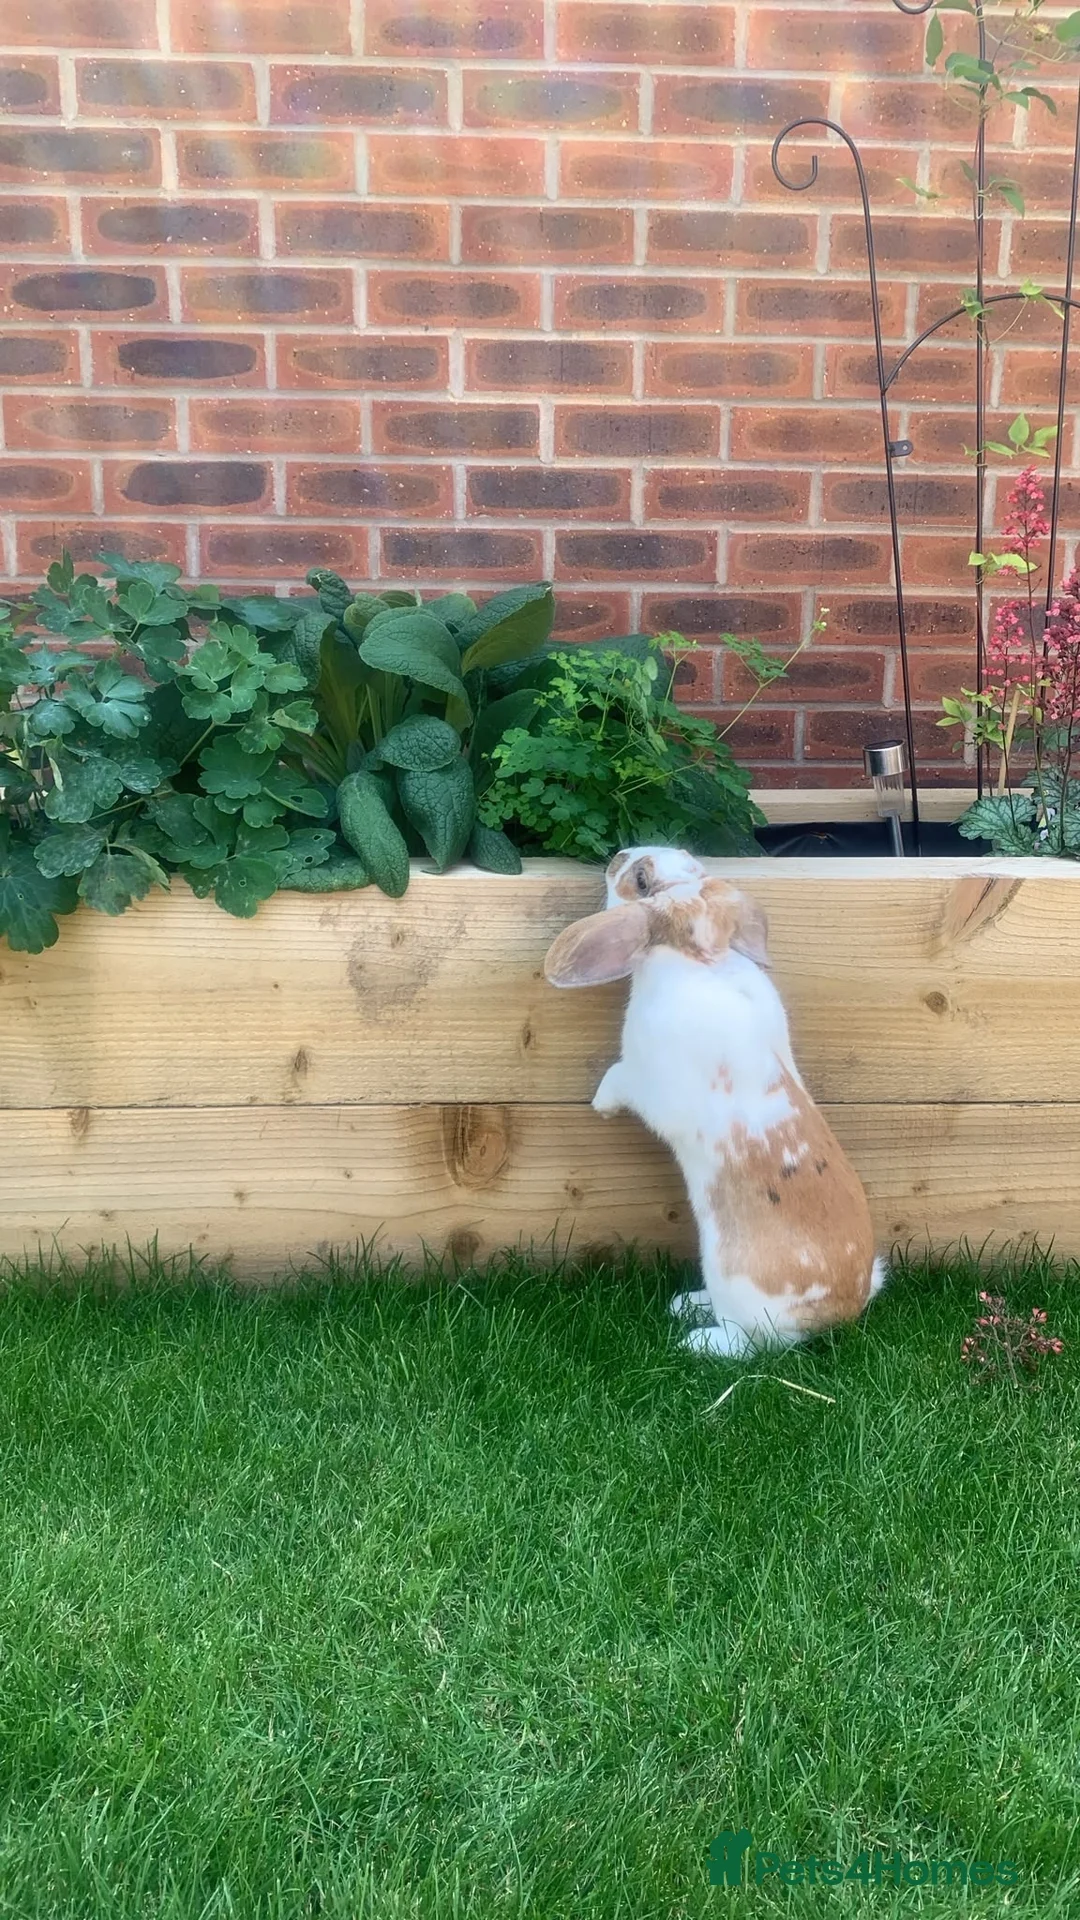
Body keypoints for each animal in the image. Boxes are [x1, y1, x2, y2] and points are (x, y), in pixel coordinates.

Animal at [544, 846, 886, 1359]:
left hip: (734, 1286)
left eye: (640, 880)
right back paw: (688, 1303)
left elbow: (618, 1077)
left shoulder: (648, 1080)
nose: (617, 856)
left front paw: (601, 1105)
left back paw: (695, 1338)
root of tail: (840, 1311)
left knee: (747, 1345)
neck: (700, 960)